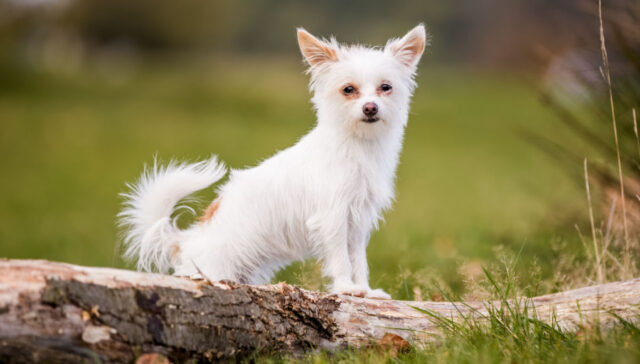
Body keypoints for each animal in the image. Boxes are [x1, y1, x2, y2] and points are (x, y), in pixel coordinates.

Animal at [121, 24, 430, 298]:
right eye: (348, 90)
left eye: (385, 87)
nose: (370, 108)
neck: (357, 145)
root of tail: (184, 242)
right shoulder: (332, 218)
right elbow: (341, 259)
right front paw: (347, 289)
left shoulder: (357, 223)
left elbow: (358, 261)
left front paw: (365, 290)